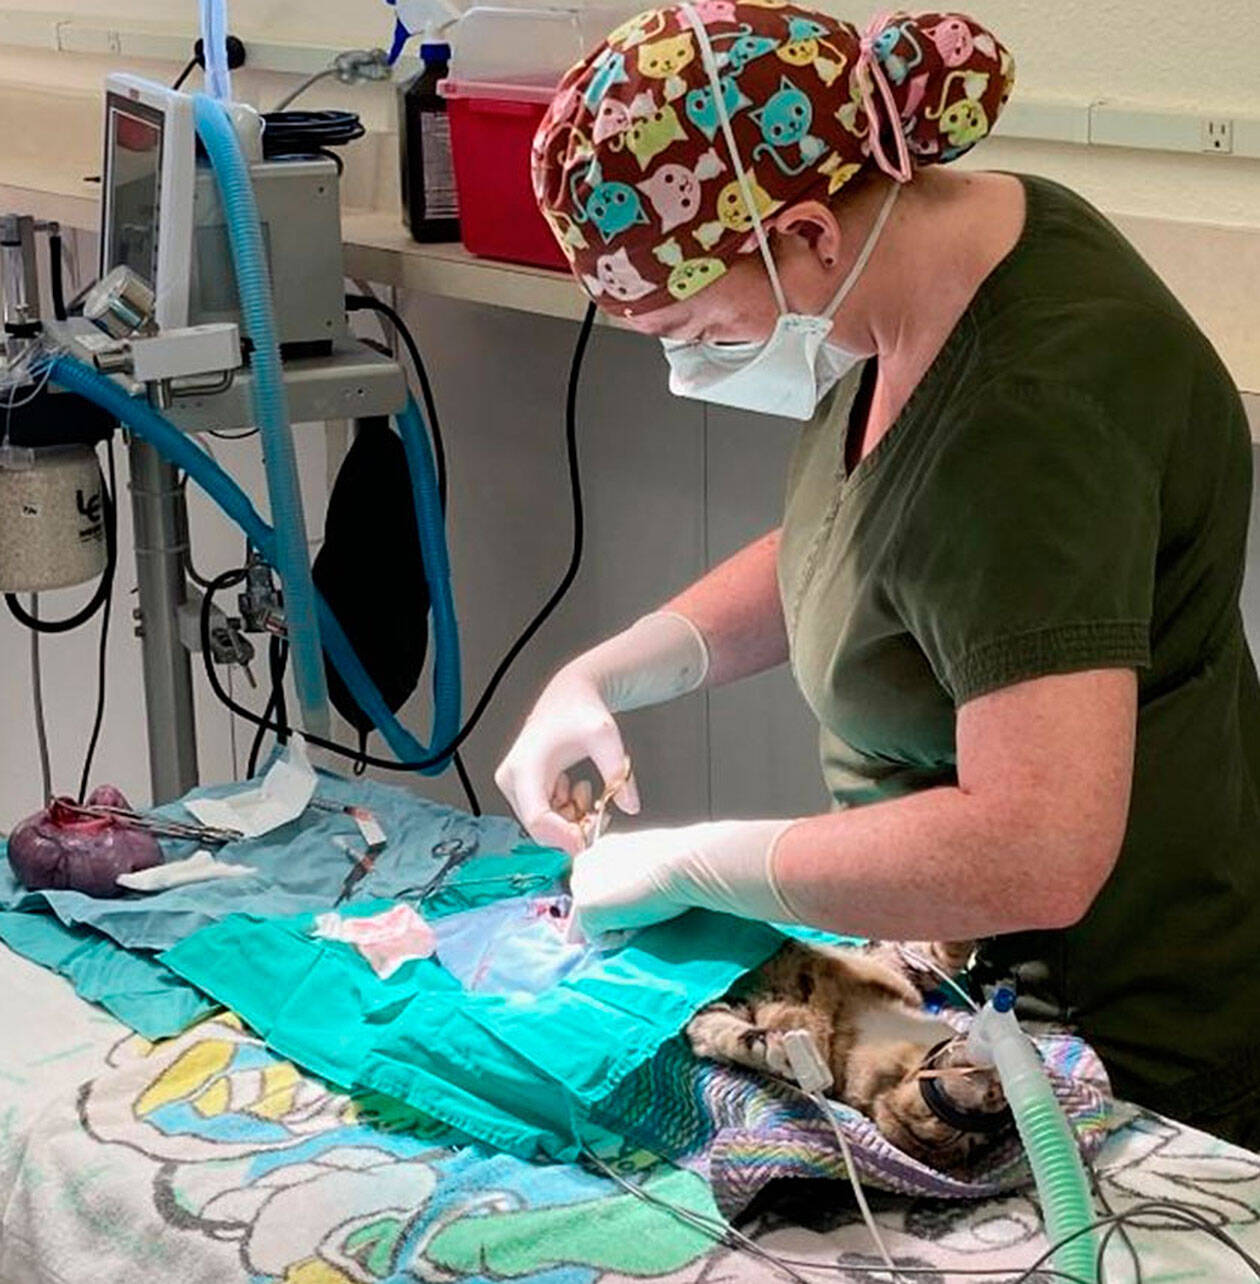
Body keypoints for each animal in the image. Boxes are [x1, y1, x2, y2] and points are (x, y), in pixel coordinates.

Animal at [678, 939, 1012, 1171]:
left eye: (959, 1136)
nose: (997, 1093)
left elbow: (715, 1030)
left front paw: (776, 1048)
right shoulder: (899, 959)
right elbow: (941, 954)